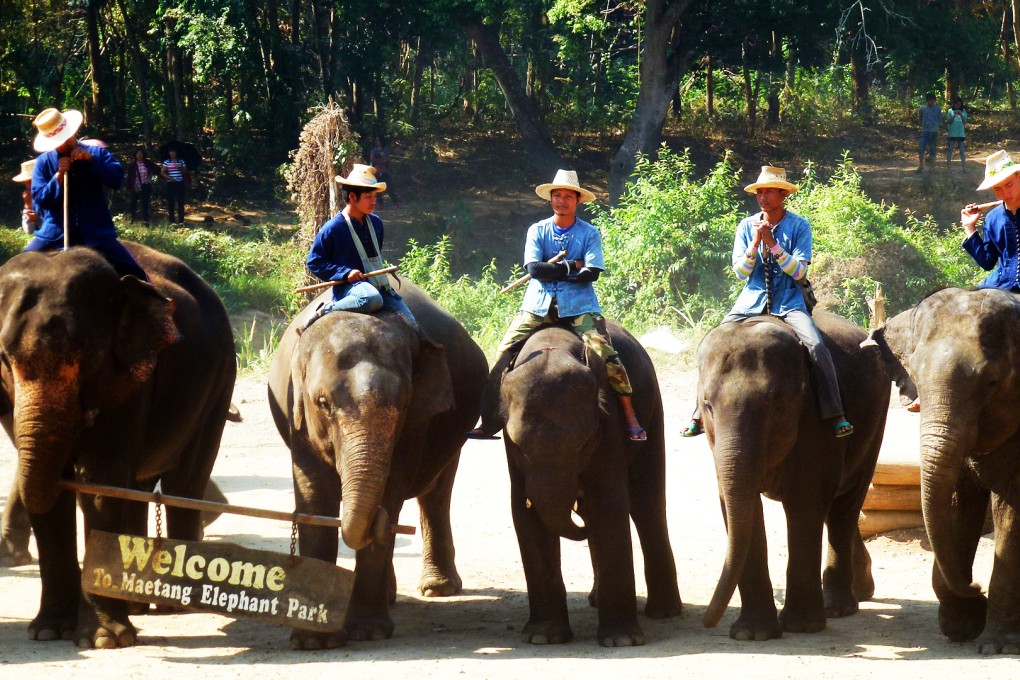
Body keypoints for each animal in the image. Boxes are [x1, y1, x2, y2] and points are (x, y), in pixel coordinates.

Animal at [0, 243, 234, 648]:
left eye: (89, 356)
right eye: (3, 358)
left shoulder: (134, 377)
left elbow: (99, 482)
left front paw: (102, 640)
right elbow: (52, 491)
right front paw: (48, 631)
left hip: (219, 379)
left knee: (184, 483)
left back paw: (175, 603)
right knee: (138, 486)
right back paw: (137, 604)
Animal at [267, 275, 489, 648]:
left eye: (404, 403)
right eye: (323, 403)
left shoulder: (417, 422)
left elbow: (393, 488)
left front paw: (368, 633)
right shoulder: (298, 418)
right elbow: (314, 497)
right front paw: (313, 639)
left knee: (436, 493)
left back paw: (437, 589)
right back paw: (392, 594)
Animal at [491, 322, 677, 648]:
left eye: (584, 443)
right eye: (519, 447)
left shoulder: (609, 420)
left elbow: (609, 504)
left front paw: (622, 641)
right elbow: (524, 512)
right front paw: (543, 637)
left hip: (652, 414)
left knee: (647, 505)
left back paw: (664, 612)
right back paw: (596, 599)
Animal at [697, 311, 889, 640]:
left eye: (775, 405)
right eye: (707, 405)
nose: (706, 621)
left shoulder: (815, 418)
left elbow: (806, 502)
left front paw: (802, 627)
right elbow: (741, 505)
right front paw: (752, 635)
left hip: (875, 419)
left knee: (845, 503)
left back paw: (837, 607)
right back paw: (861, 590)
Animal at [864, 287, 1020, 652]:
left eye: (993, 382)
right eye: (916, 378)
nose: (976, 587)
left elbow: (1009, 511)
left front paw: (997, 645)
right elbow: (955, 506)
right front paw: (961, 626)